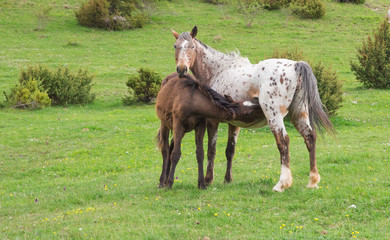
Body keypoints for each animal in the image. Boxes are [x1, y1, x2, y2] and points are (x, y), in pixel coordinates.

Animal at [171, 26, 336, 192]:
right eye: (175, 46)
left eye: (191, 47)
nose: (181, 69)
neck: (219, 71)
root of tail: (296, 66)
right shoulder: (234, 124)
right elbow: (230, 151)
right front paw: (227, 179)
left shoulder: (213, 121)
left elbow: (212, 150)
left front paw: (208, 179)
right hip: (299, 114)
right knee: (310, 137)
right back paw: (312, 181)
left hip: (274, 116)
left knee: (283, 141)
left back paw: (282, 184)